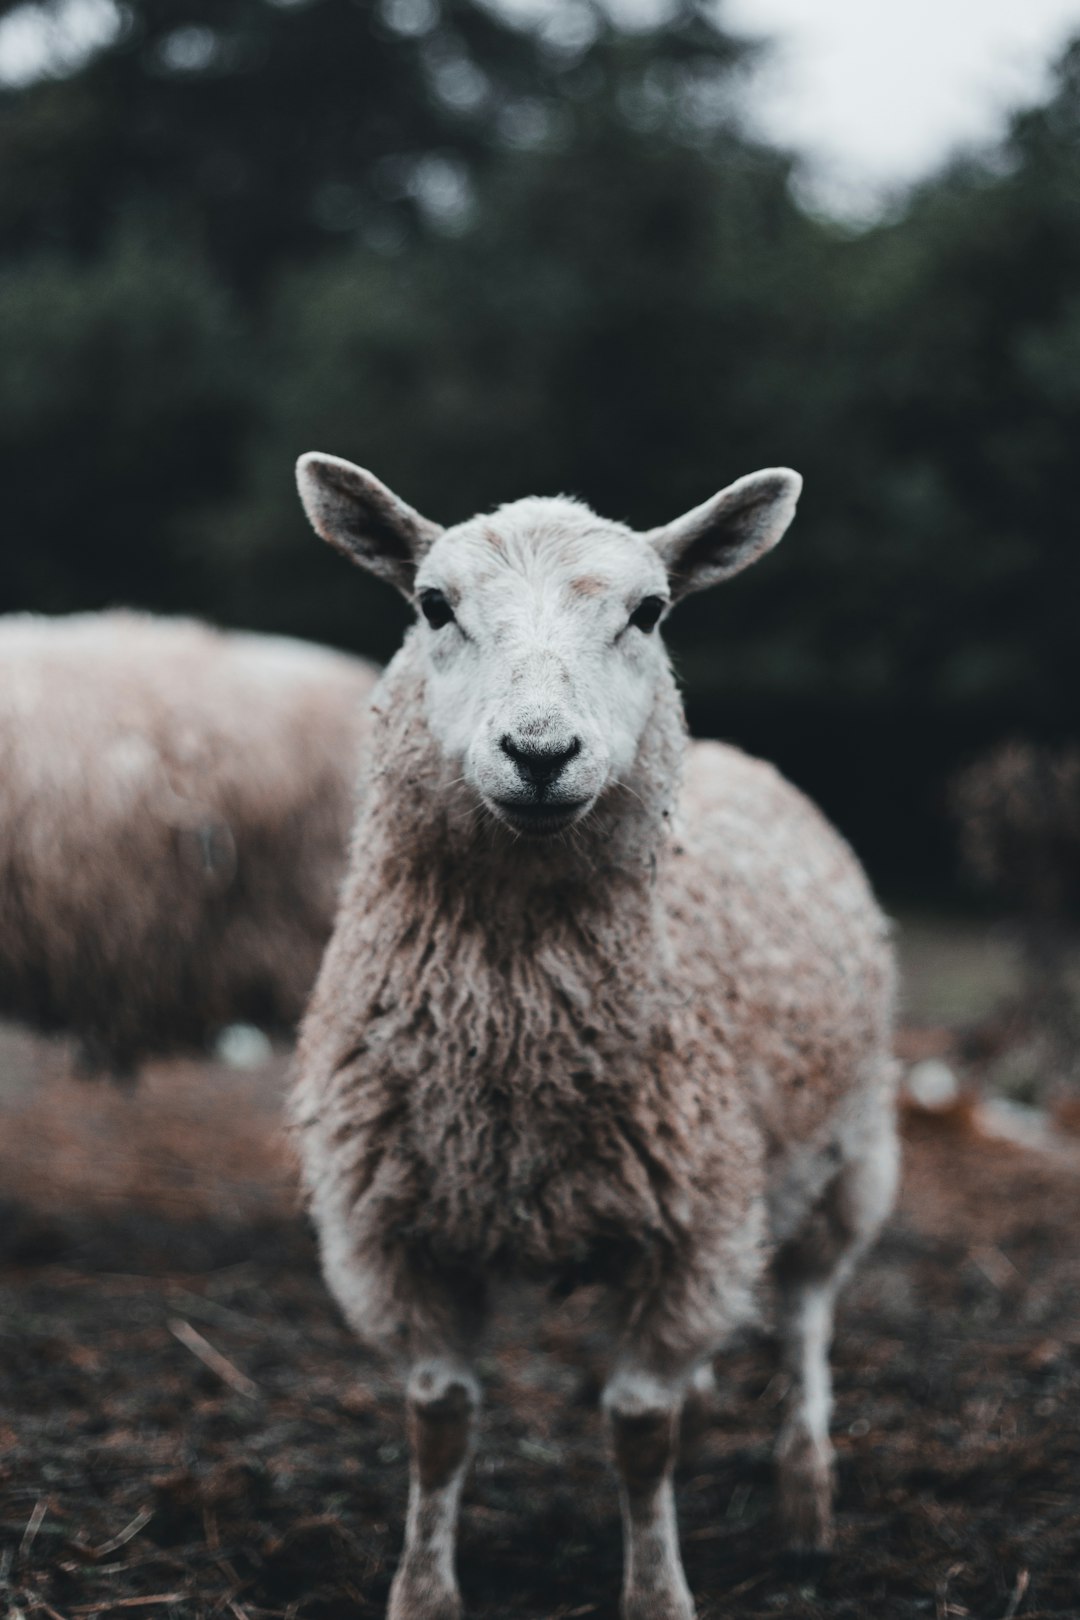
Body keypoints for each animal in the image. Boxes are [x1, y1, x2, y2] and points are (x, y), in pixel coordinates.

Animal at [291, 453, 900, 1620]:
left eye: (648, 612)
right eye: (432, 604)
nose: (540, 754)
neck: (509, 1043)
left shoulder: (693, 1225)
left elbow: (638, 1431)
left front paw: (657, 1592)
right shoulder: (395, 1231)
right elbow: (439, 1422)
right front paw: (423, 1591)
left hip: (849, 1150)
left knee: (805, 1314)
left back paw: (807, 1501)